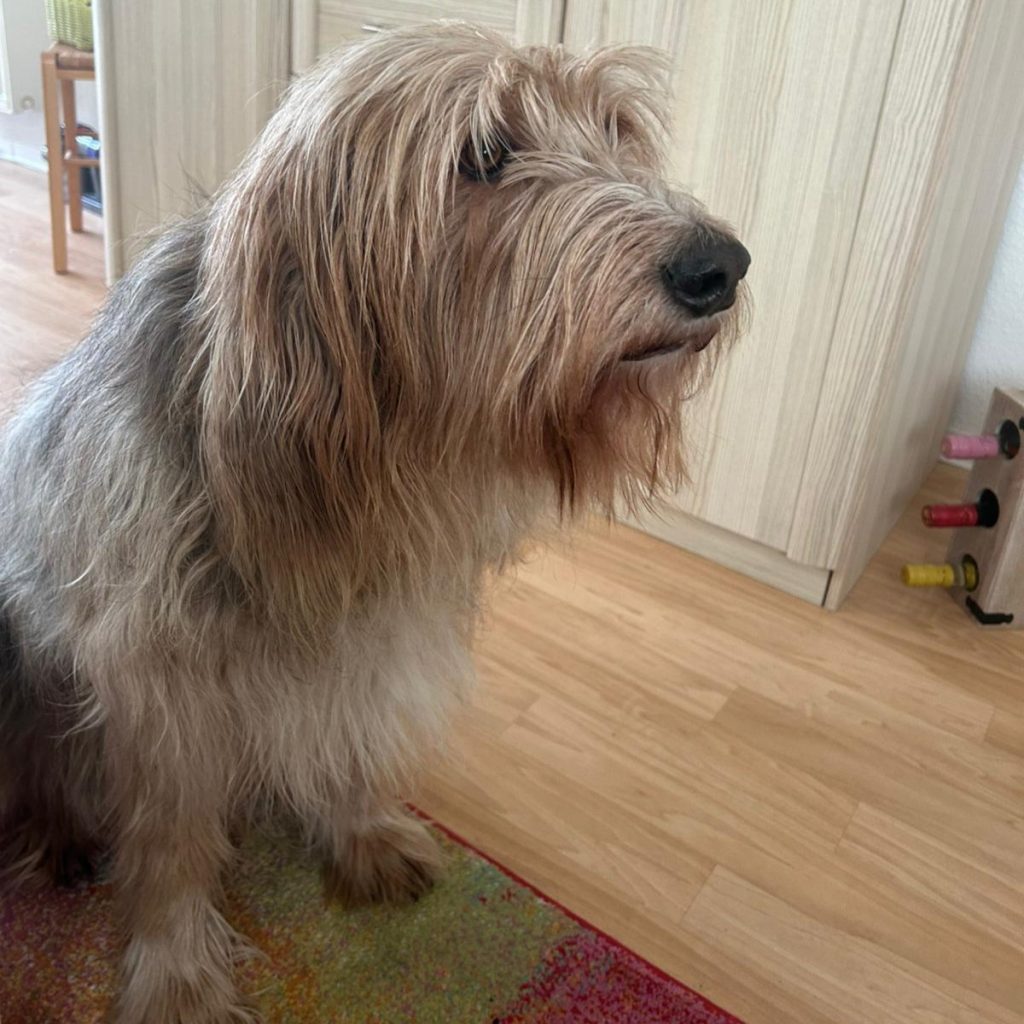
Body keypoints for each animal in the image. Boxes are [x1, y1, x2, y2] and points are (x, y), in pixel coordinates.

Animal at [0, 23, 748, 1023]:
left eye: (618, 131)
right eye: (483, 154)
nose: (720, 266)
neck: (371, 463)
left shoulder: (377, 636)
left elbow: (348, 736)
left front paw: (358, 831)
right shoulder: (160, 695)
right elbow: (167, 845)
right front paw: (178, 971)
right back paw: (59, 834)